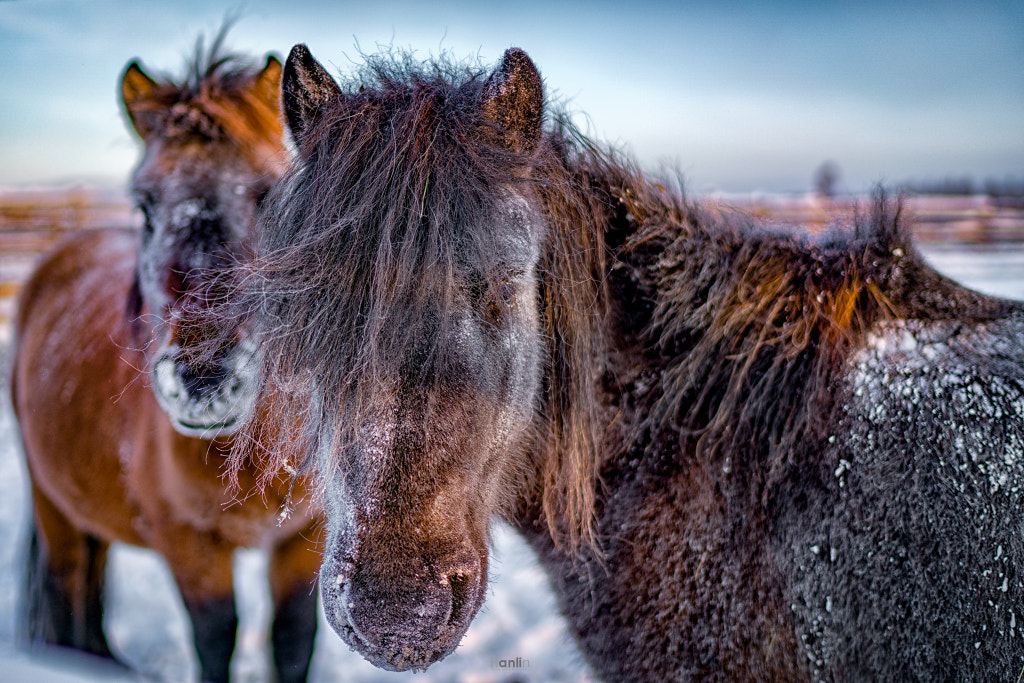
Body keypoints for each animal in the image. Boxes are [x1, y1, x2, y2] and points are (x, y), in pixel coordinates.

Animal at [11, 34, 319, 683]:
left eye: (268, 195)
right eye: (146, 208)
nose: (204, 381)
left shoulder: (306, 539)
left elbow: (291, 643)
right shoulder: (188, 547)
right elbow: (215, 642)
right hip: (55, 509)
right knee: (69, 593)